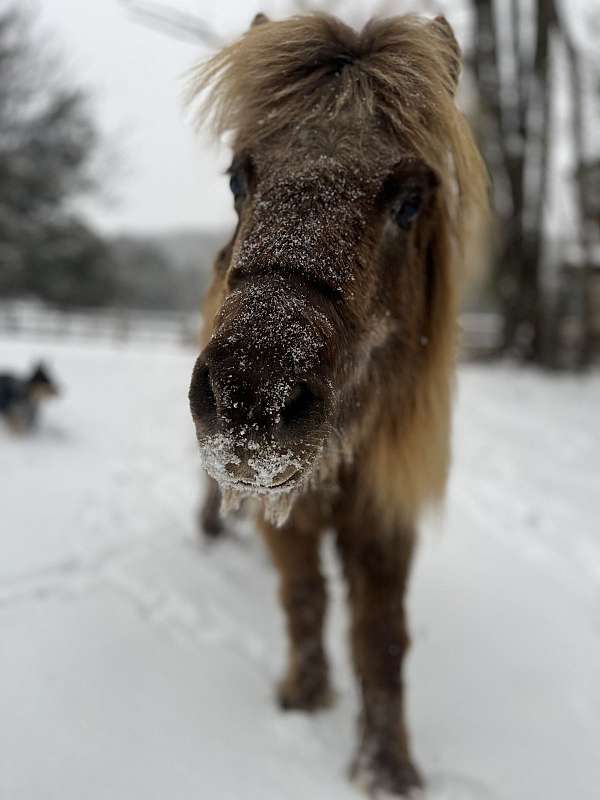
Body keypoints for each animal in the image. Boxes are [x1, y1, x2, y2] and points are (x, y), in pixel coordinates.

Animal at [188, 10, 488, 792]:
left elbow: (381, 637)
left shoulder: (384, 511)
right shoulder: (289, 507)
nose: (251, 398)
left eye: (410, 201)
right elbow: (305, 595)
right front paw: (304, 695)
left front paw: (388, 766)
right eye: (239, 178)